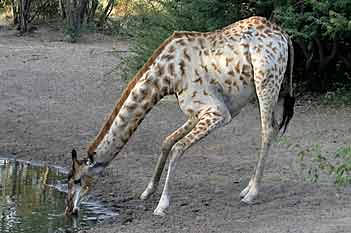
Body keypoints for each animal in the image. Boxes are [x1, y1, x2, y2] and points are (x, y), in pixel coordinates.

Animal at [64, 16, 296, 217]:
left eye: (76, 180)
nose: (68, 209)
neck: (166, 77)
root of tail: (285, 36)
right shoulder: (194, 113)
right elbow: (167, 142)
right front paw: (148, 191)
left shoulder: (218, 112)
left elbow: (178, 147)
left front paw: (162, 205)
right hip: (263, 89)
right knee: (274, 127)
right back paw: (246, 189)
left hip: (266, 81)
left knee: (267, 130)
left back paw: (252, 193)